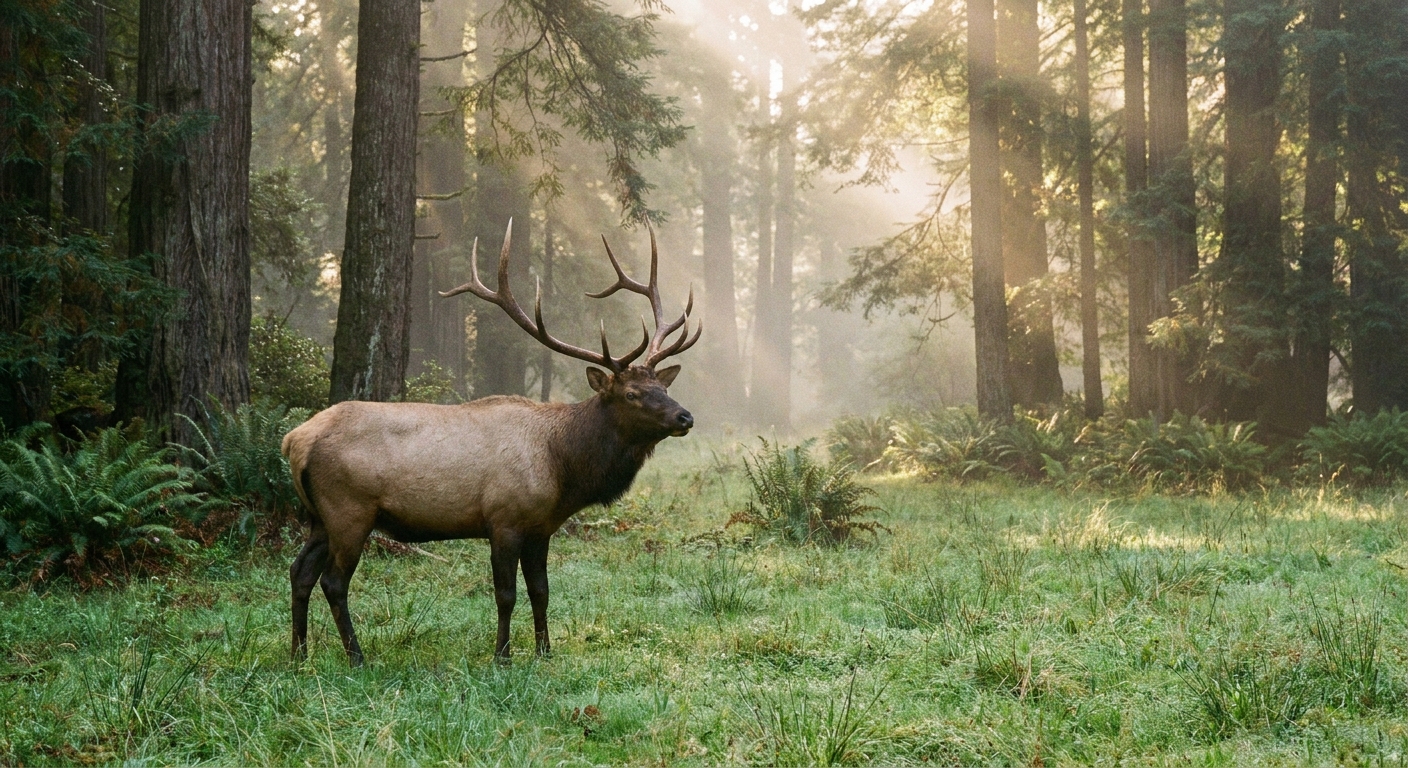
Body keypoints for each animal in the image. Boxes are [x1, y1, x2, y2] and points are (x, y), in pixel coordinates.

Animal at [281, 221, 699, 666]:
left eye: (662, 387)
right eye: (632, 394)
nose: (685, 417)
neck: (563, 468)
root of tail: (294, 440)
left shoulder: (540, 528)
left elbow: (541, 591)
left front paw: (545, 651)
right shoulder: (504, 519)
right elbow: (505, 595)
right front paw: (502, 656)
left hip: (319, 516)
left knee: (299, 572)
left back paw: (299, 654)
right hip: (349, 509)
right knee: (333, 581)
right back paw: (356, 657)